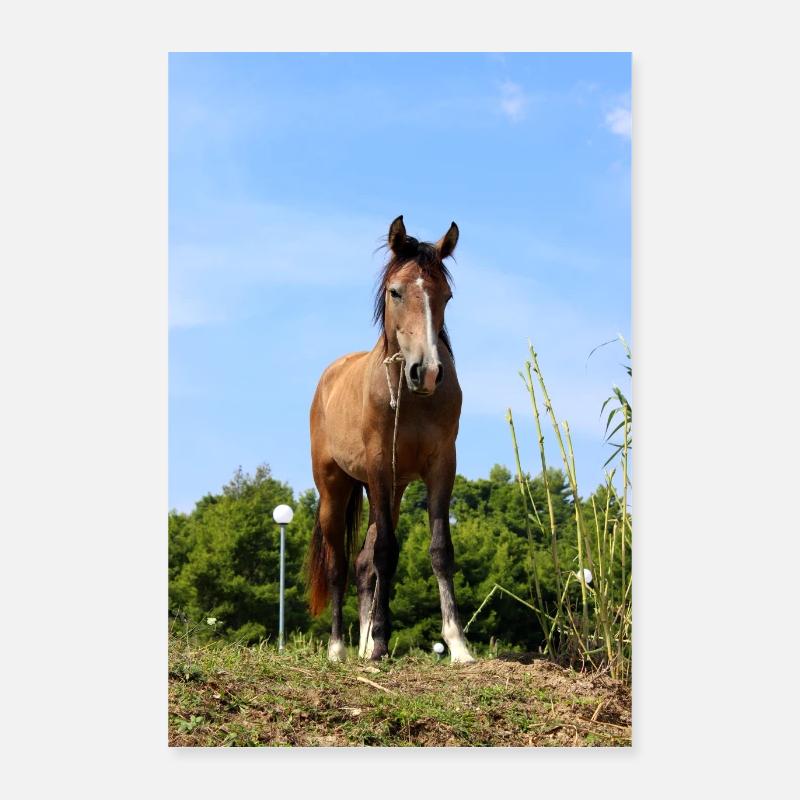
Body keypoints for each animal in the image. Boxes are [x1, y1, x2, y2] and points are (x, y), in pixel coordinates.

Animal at [307, 215, 475, 663]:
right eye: (396, 291)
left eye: (446, 296)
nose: (427, 372)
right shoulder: (380, 467)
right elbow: (385, 552)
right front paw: (381, 641)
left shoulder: (441, 467)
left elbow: (438, 550)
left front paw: (457, 644)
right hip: (336, 489)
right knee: (340, 565)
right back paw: (338, 648)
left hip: (391, 490)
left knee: (363, 563)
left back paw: (363, 643)